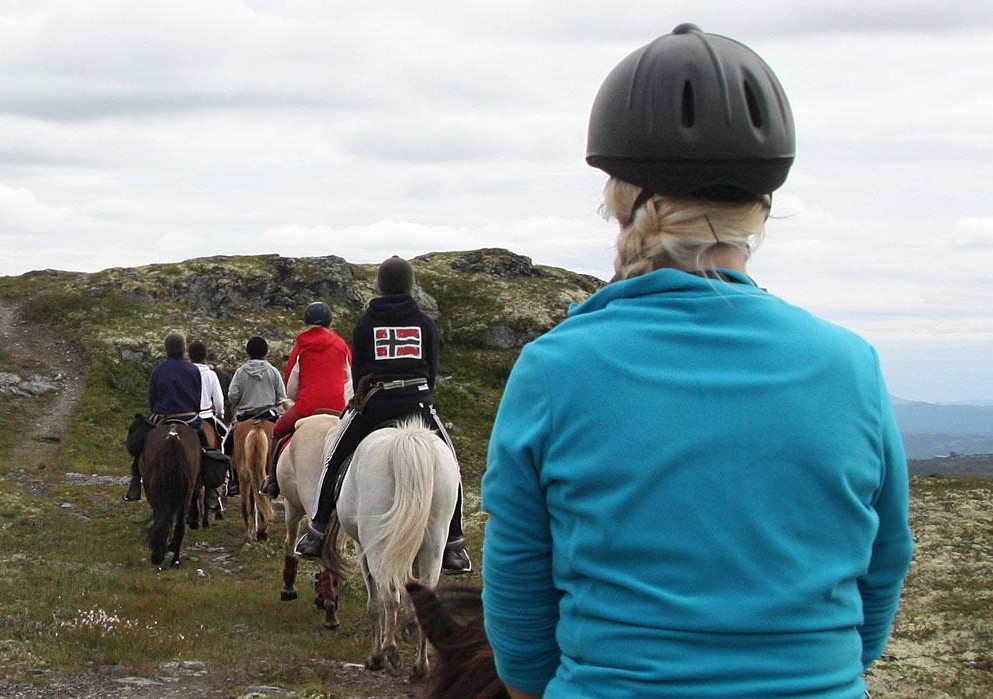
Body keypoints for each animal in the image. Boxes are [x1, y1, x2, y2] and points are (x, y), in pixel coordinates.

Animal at [140, 422, 202, 568]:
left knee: (162, 520)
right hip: (186, 496)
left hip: (156, 494)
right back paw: (175, 561)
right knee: (180, 526)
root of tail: (173, 436)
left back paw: (158, 556)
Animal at [328, 418, 464, 680]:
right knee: (424, 594)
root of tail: (408, 440)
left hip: (378, 546)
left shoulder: (363, 548)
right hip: (433, 543)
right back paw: (420, 666)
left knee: (388, 596)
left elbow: (374, 603)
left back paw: (389, 653)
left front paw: (375, 657)